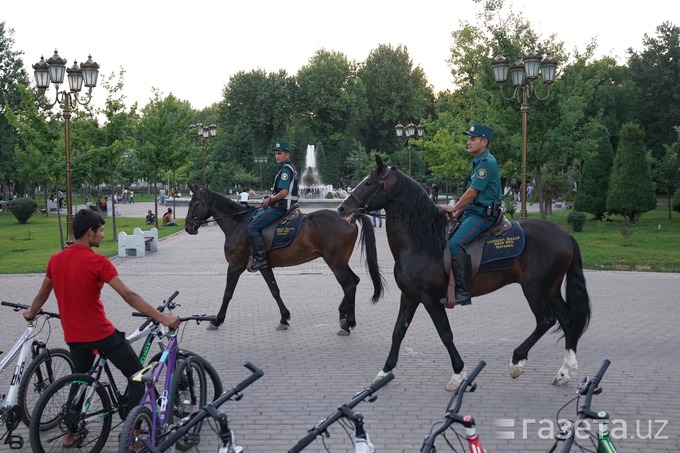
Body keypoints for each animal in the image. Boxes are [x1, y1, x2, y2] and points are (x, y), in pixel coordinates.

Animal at [186, 184, 386, 336]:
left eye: (193, 203)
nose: (188, 227)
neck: (239, 224)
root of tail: (348, 218)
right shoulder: (263, 266)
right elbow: (275, 290)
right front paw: (284, 317)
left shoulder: (235, 265)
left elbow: (227, 293)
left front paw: (217, 319)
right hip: (340, 262)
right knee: (354, 281)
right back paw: (343, 315)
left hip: (335, 262)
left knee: (349, 286)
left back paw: (348, 323)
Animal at [338, 155, 592, 388]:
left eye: (369, 183)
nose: (342, 208)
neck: (422, 241)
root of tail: (565, 235)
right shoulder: (409, 296)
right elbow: (398, 331)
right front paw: (385, 371)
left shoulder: (430, 299)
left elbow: (445, 333)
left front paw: (458, 373)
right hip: (550, 289)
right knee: (567, 320)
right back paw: (565, 371)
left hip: (535, 289)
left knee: (546, 321)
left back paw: (517, 360)